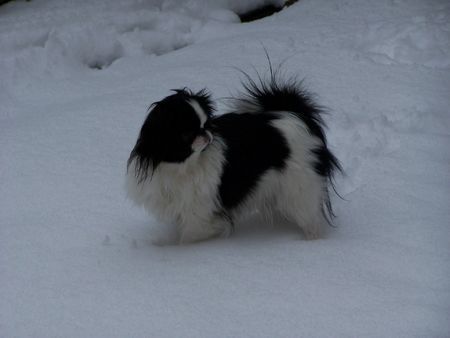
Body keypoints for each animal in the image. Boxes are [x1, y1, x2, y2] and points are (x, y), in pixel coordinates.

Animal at [125, 73, 340, 243]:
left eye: (207, 124)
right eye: (186, 134)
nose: (206, 134)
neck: (183, 167)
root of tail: (296, 114)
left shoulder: (199, 216)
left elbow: (188, 238)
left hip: (300, 189)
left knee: (310, 219)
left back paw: (311, 242)